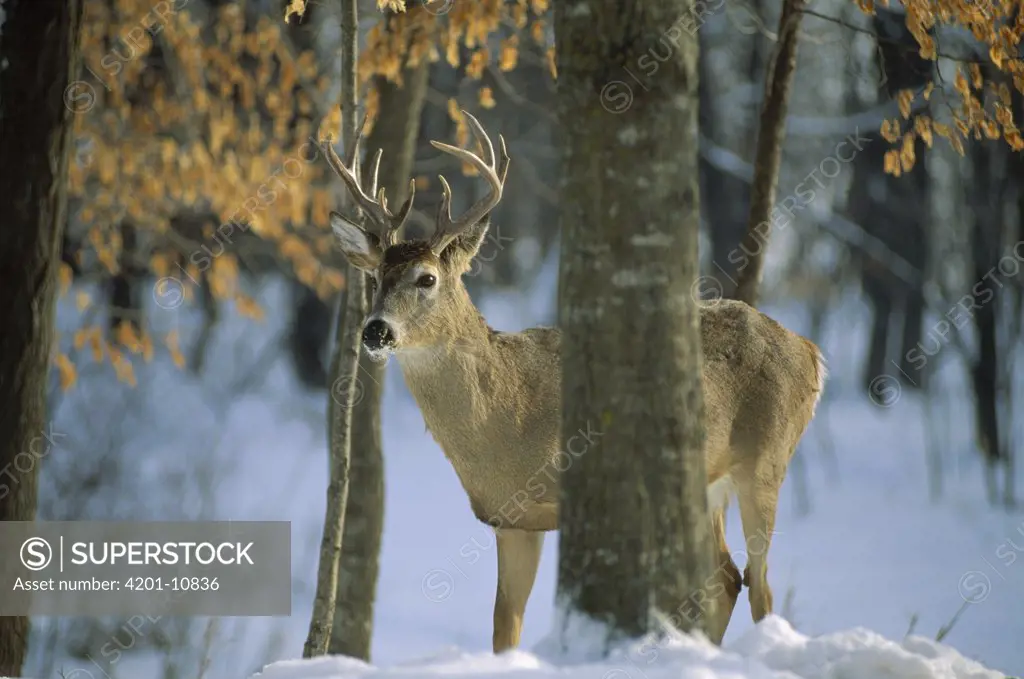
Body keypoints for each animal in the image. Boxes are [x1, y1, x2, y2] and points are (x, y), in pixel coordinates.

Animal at [323, 111, 827, 655]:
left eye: (427, 278)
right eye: (376, 278)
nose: (375, 330)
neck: (505, 422)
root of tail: (810, 351)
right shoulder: (509, 518)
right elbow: (504, 629)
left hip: (766, 459)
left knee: (761, 587)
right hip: (710, 481)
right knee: (728, 576)